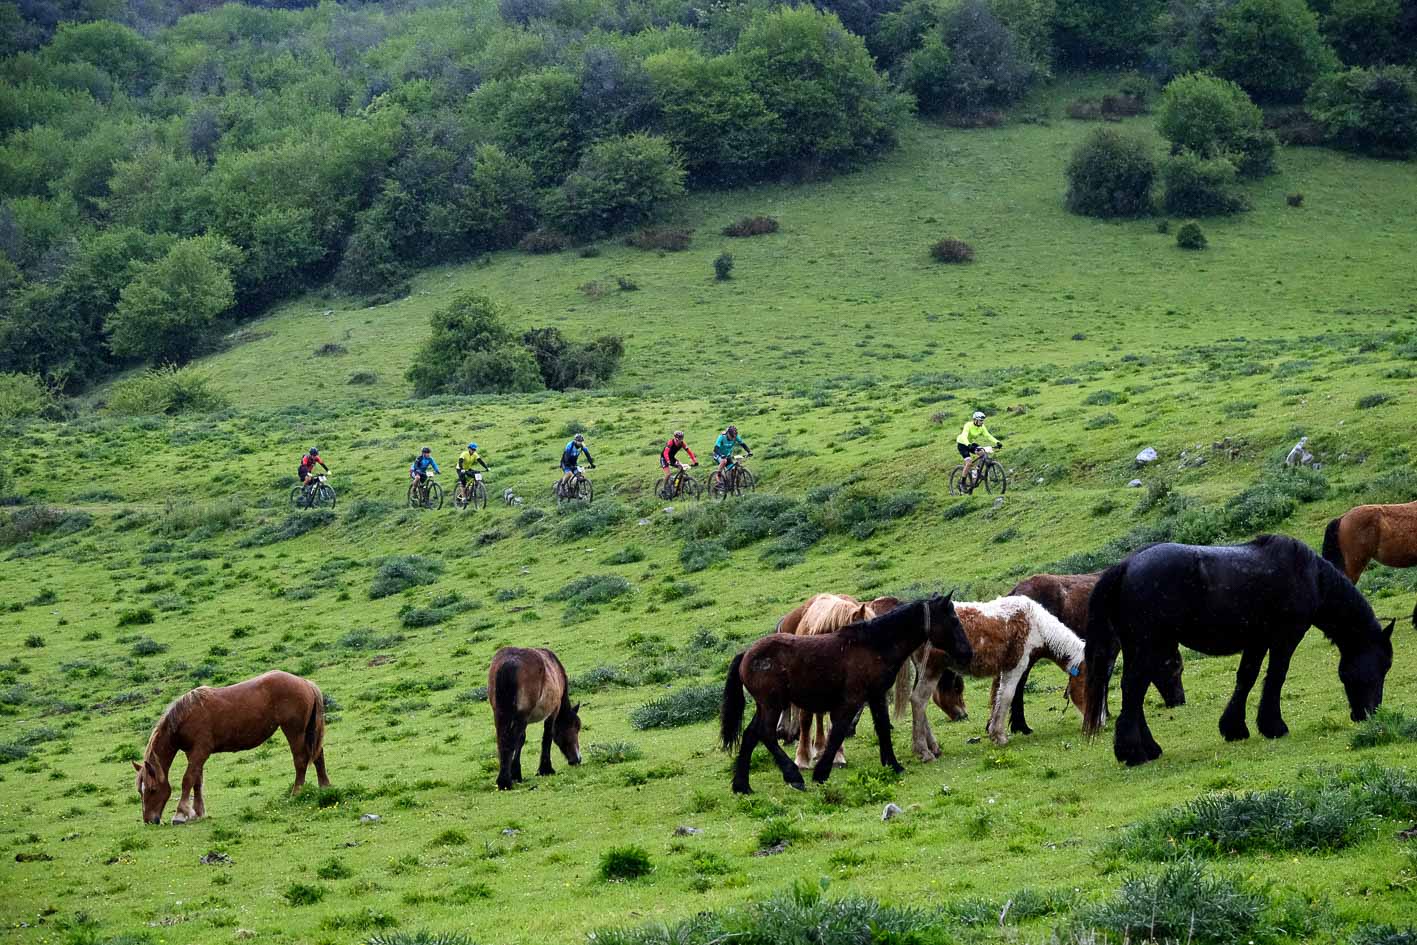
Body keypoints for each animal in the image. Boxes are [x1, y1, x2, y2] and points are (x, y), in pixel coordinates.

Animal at [133, 668, 328, 821]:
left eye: (152, 789)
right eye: (140, 791)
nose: (149, 820)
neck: (184, 717)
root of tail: (305, 682)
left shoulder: (200, 752)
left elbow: (188, 779)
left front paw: (180, 814)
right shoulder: (193, 754)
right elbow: (197, 781)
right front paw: (198, 812)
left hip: (295, 731)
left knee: (301, 760)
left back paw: (296, 793)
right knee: (318, 755)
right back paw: (324, 787)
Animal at [484, 651, 578, 793]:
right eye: (575, 729)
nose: (577, 759)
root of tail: (509, 663)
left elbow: (521, 741)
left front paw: (516, 774)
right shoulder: (553, 710)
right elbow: (547, 737)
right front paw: (545, 769)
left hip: (500, 714)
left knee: (502, 741)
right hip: (521, 716)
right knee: (511, 741)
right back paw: (505, 782)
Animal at [719, 595, 974, 793]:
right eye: (953, 620)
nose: (967, 652)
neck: (873, 645)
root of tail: (746, 654)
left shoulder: (876, 696)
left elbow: (883, 728)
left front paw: (893, 765)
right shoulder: (851, 701)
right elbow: (839, 732)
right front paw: (821, 772)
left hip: (766, 706)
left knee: (751, 735)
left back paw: (742, 786)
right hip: (772, 705)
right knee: (766, 734)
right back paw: (794, 776)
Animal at [1082, 535, 1394, 765]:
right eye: (1382, 666)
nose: (1369, 713)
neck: (1309, 575)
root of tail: (1126, 565)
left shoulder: (1257, 641)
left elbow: (1247, 677)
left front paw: (1234, 728)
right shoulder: (1285, 638)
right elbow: (1276, 677)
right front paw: (1273, 726)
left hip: (1142, 647)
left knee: (1135, 692)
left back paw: (1148, 748)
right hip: (1147, 646)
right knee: (1133, 690)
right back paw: (1133, 753)